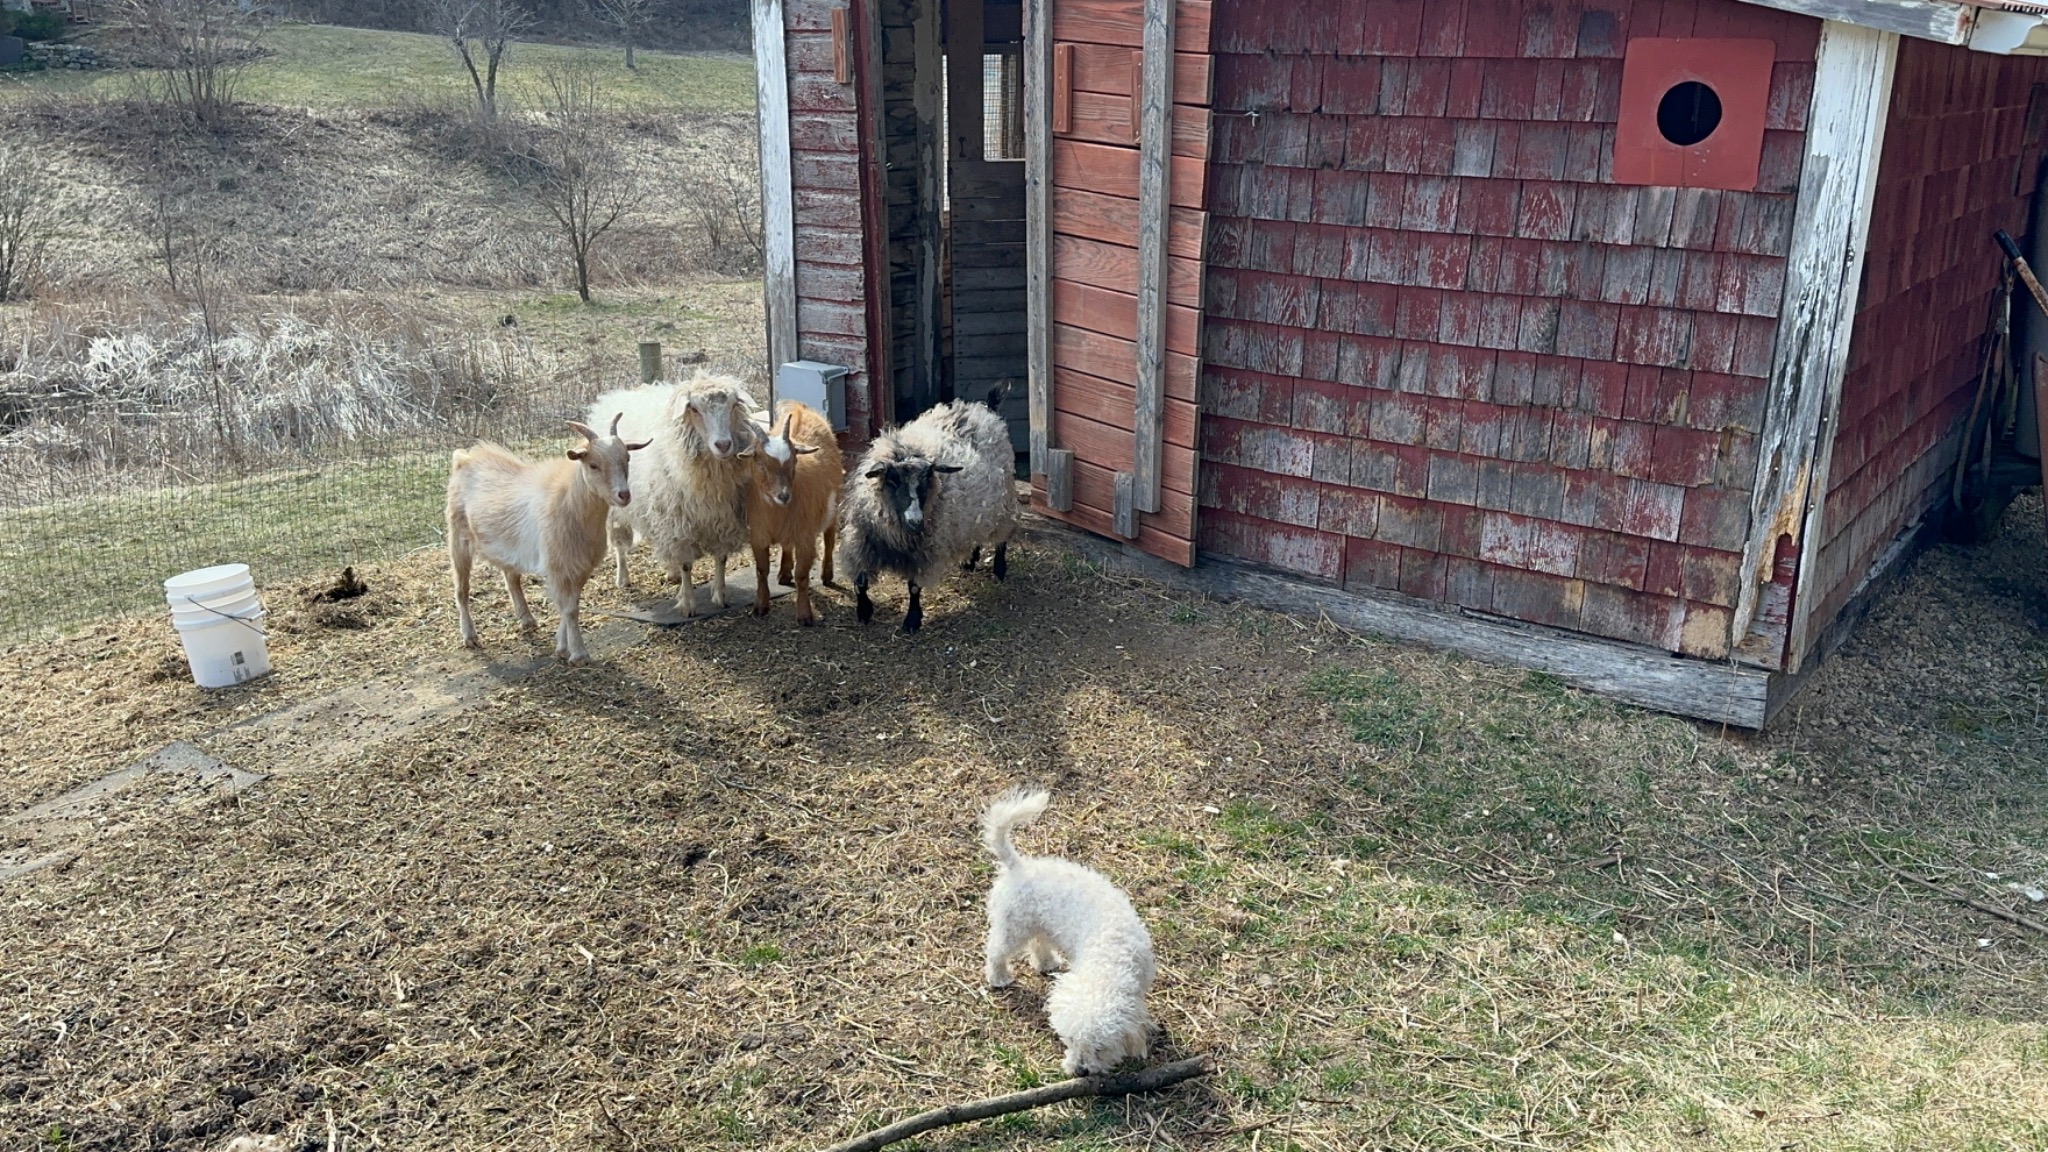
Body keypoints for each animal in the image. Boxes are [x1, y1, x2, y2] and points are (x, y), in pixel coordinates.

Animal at [446, 414, 648, 665]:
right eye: (593, 464)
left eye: (627, 458)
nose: (624, 495)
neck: (572, 503)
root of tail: (464, 459)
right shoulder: (558, 565)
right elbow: (569, 609)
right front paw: (579, 654)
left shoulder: (579, 566)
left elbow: (569, 604)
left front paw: (562, 646)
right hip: (458, 538)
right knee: (461, 588)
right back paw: (470, 636)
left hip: (506, 547)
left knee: (511, 578)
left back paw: (526, 619)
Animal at [587, 371, 763, 617]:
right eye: (694, 409)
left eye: (732, 405)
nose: (723, 444)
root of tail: (615, 395)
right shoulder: (678, 524)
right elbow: (686, 565)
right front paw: (688, 604)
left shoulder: (724, 519)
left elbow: (721, 558)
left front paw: (720, 595)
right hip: (617, 506)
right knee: (620, 543)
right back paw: (623, 578)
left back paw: (670, 572)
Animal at [744, 401, 844, 626]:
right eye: (760, 465)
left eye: (795, 462)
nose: (783, 496)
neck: (776, 513)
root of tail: (801, 409)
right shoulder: (758, 536)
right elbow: (761, 571)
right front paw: (760, 606)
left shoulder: (805, 538)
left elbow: (802, 576)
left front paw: (805, 615)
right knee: (787, 544)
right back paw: (784, 571)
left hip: (833, 507)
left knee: (829, 538)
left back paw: (827, 573)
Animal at [839, 388, 1017, 633]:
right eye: (893, 481)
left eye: (926, 482)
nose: (916, 521)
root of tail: (983, 409)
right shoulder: (862, 543)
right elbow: (860, 582)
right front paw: (864, 611)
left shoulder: (923, 553)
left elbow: (914, 588)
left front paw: (912, 620)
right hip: (977, 510)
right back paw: (970, 561)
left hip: (1002, 505)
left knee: (1001, 539)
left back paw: (999, 569)